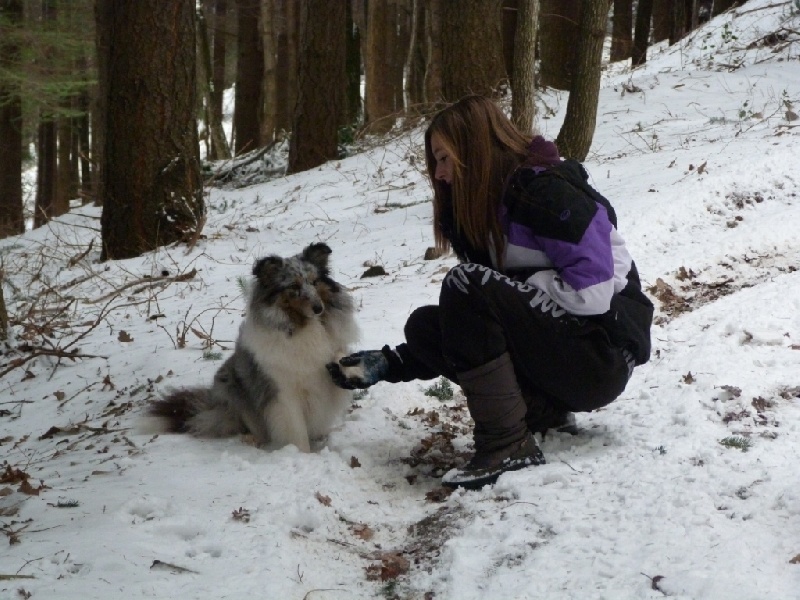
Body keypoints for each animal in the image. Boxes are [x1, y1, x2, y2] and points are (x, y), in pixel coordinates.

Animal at [148, 241, 360, 452]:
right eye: (294, 285)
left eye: (315, 282)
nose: (318, 309)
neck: (303, 326)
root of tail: (210, 406)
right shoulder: (283, 393)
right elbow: (296, 431)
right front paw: (303, 454)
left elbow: (339, 355)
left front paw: (352, 368)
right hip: (232, 389)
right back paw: (252, 439)